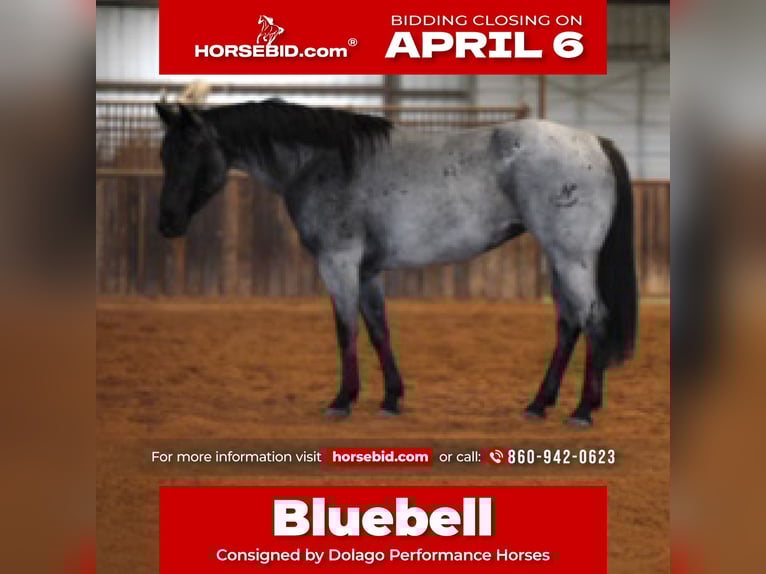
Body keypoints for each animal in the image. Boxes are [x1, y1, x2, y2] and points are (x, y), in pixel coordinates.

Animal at [154, 100, 637, 427]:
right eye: (164, 155)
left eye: (190, 152)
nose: (167, 223)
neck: (323, 161)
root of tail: (594, 142)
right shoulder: (368, 270)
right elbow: (377, 329)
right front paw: (390, 399)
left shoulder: (338, 262)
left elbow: (346, 329)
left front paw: (342, 401)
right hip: (560, 259)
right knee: (569, 324)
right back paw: (539, 405)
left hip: (571, 257)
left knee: (594, 319)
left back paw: (582, 410)